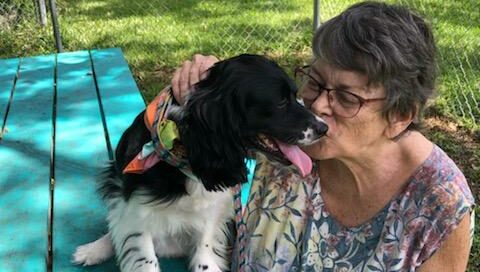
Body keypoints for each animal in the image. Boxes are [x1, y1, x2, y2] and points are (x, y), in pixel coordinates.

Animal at [71, 54, 328, 270]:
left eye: (296, 95)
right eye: (281, 102)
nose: (324, 128)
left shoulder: (213, 211)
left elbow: (205, 250)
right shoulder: (137, 210)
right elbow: (143, 255)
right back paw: (94, 249)